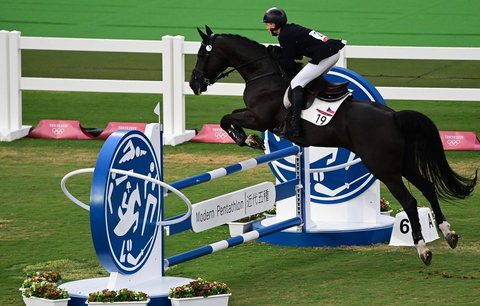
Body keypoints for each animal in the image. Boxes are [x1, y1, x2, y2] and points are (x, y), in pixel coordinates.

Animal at [189, 26, 478, 266]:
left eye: (202, 54)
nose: (194, 84)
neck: (263, 72)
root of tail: (393, 117)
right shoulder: (254, 116)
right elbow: (229, 117)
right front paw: (251, 139)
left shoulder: (259, 117)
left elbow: (226, 119)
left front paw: (248, 139)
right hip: (402, 163)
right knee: (428, 187)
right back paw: (448, 234)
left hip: (384, 168)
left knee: (409, 200)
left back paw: (423, 250)